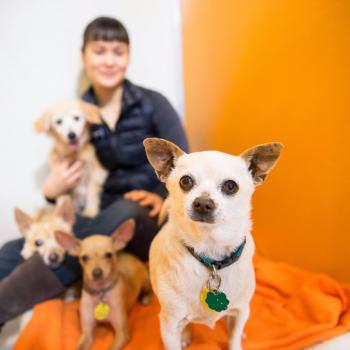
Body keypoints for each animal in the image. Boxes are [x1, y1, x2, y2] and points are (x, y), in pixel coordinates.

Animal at [55, 219, 151, 350]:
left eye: (109, 255)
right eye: (84, 258)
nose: (97, 273)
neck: (100, 292)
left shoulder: (122, 333)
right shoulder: (86, 334)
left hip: (146, 280)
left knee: (148, 289)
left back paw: (146, 297)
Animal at [144, 138, 284, 348]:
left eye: (231, 186)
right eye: (185, 181)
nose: (203, 203)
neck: (211, 254)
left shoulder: (242, 311)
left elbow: (234, 338)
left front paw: (237, 339)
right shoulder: (168, 325)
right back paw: (185, 335)